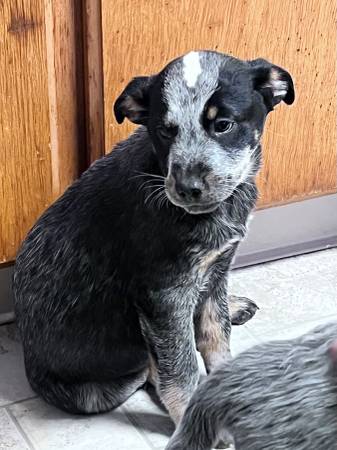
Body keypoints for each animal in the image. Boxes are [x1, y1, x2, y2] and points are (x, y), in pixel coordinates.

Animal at [12, 51, 294, 424]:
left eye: (223, 125)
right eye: (164, 131)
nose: (188, 188)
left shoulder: (219, 264)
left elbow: (216, 333)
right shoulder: (165, 296)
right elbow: (181, 367)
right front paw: (190, 415)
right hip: (96, 393)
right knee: (148, 370)